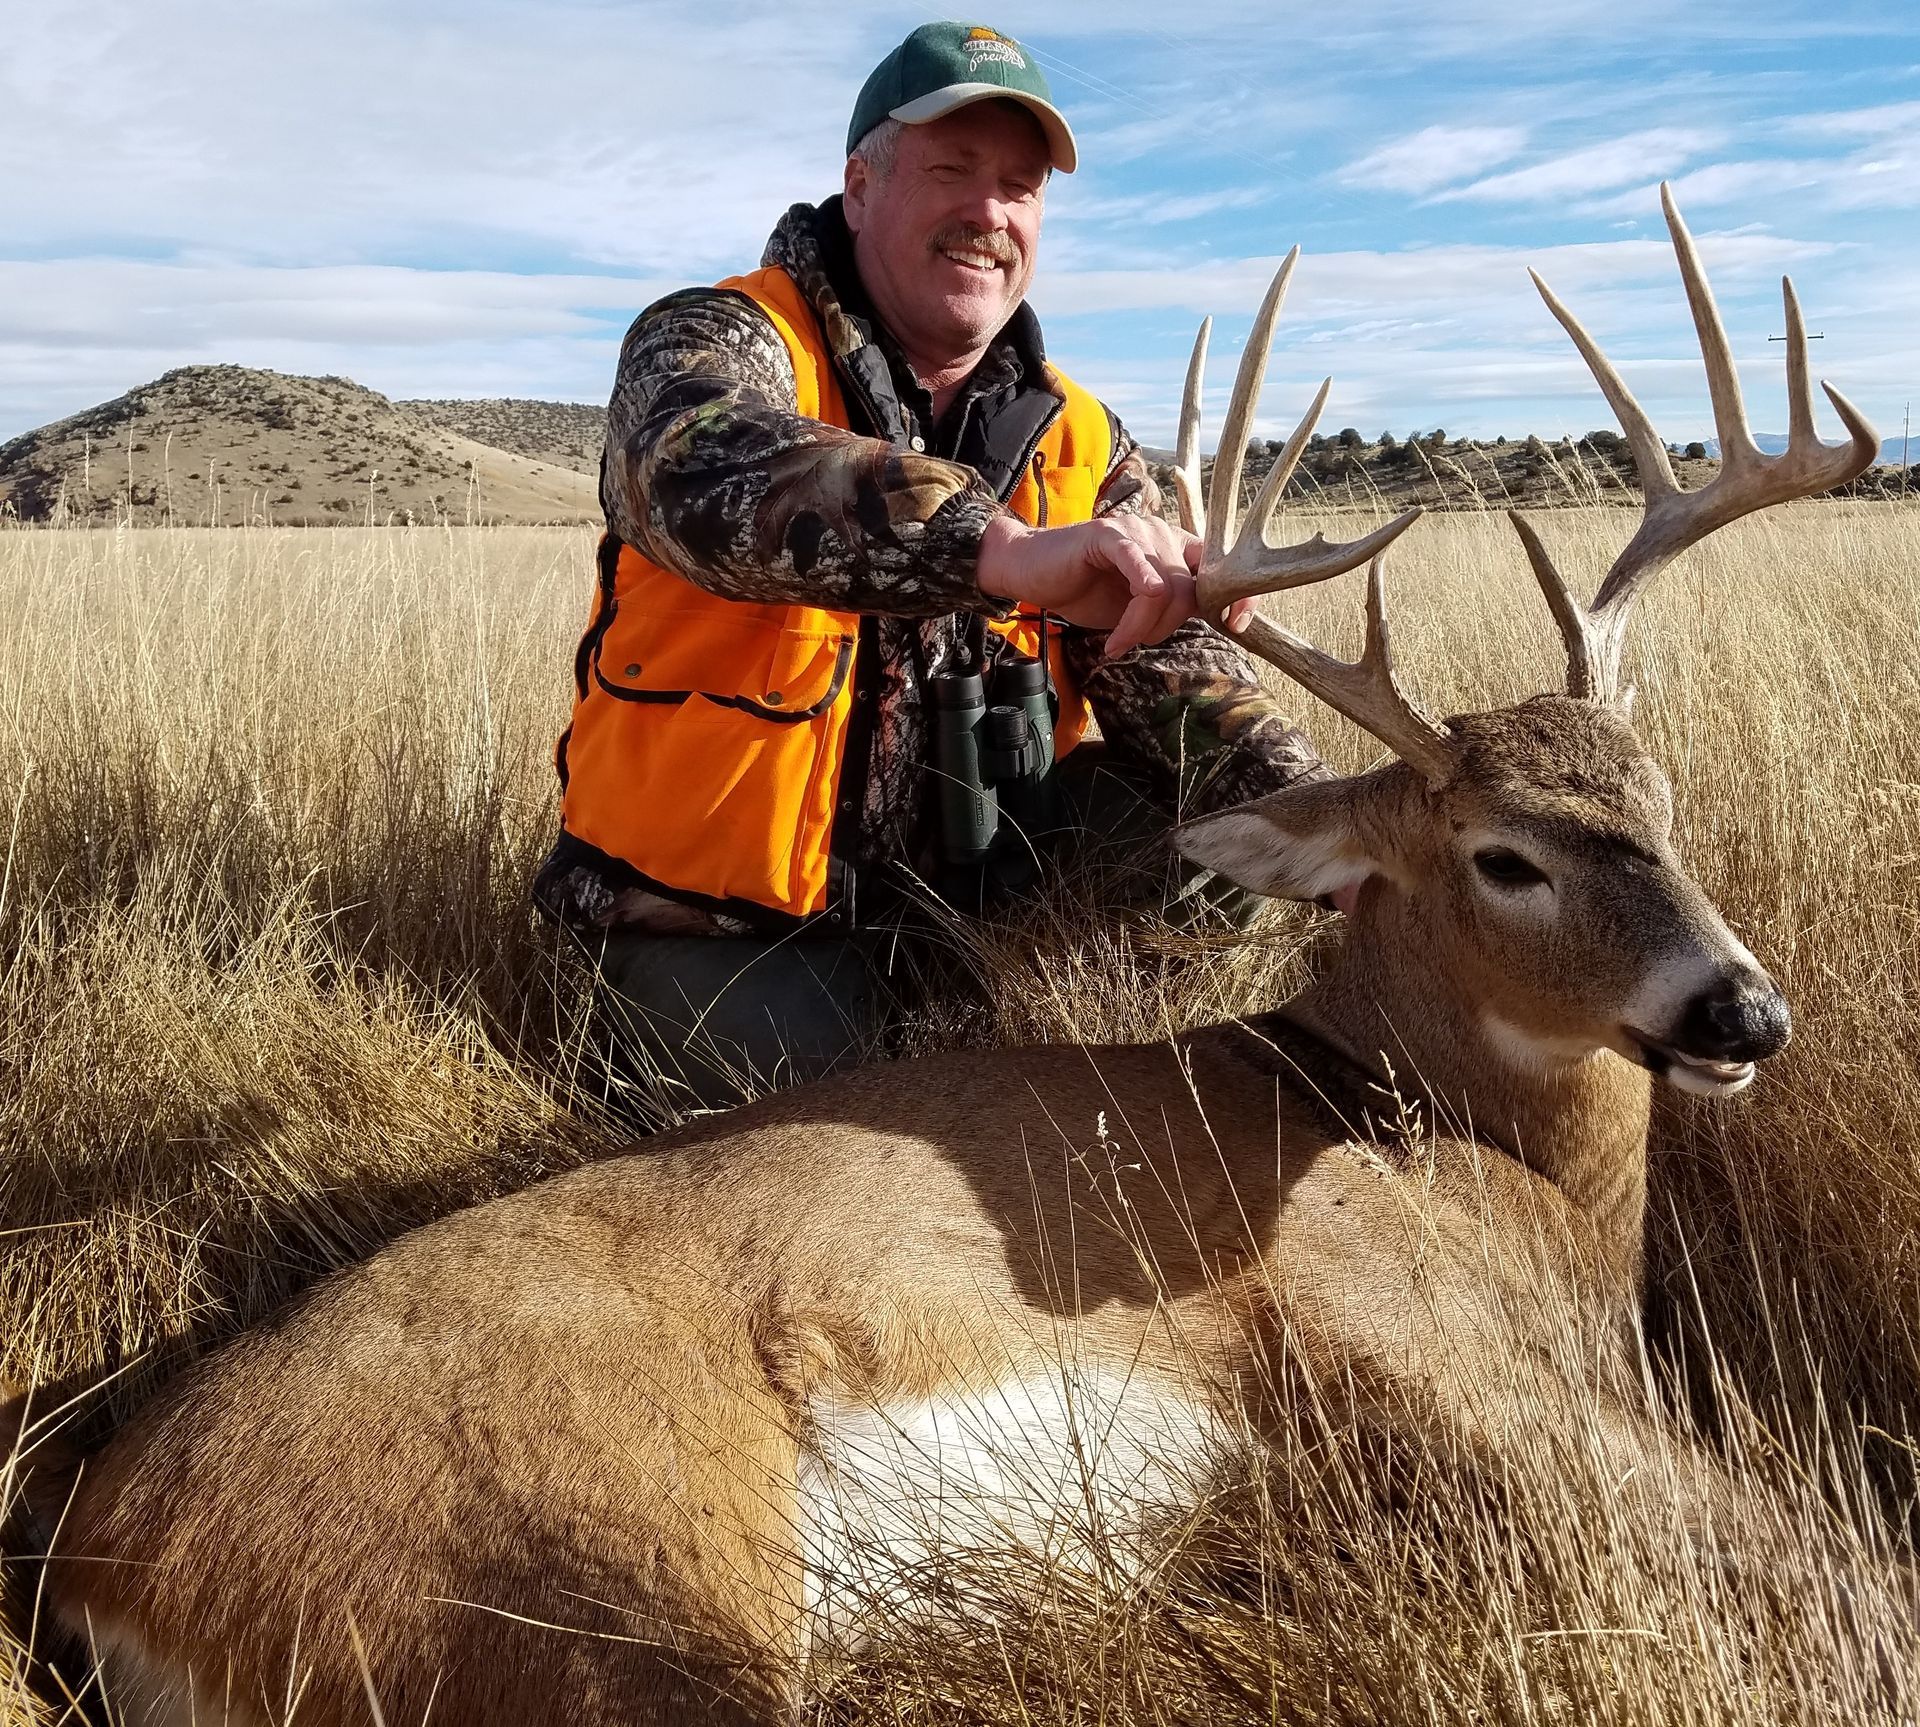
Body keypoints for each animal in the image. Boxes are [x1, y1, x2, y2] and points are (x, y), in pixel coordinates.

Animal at [2, 188, 1882, 1727]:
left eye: (1661, 800)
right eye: (1505, 855)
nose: (1743, 1007)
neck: (1467, 1156)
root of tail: (89, 1555)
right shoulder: (1392, 1341)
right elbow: (1829, 1556)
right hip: (617, 1599)